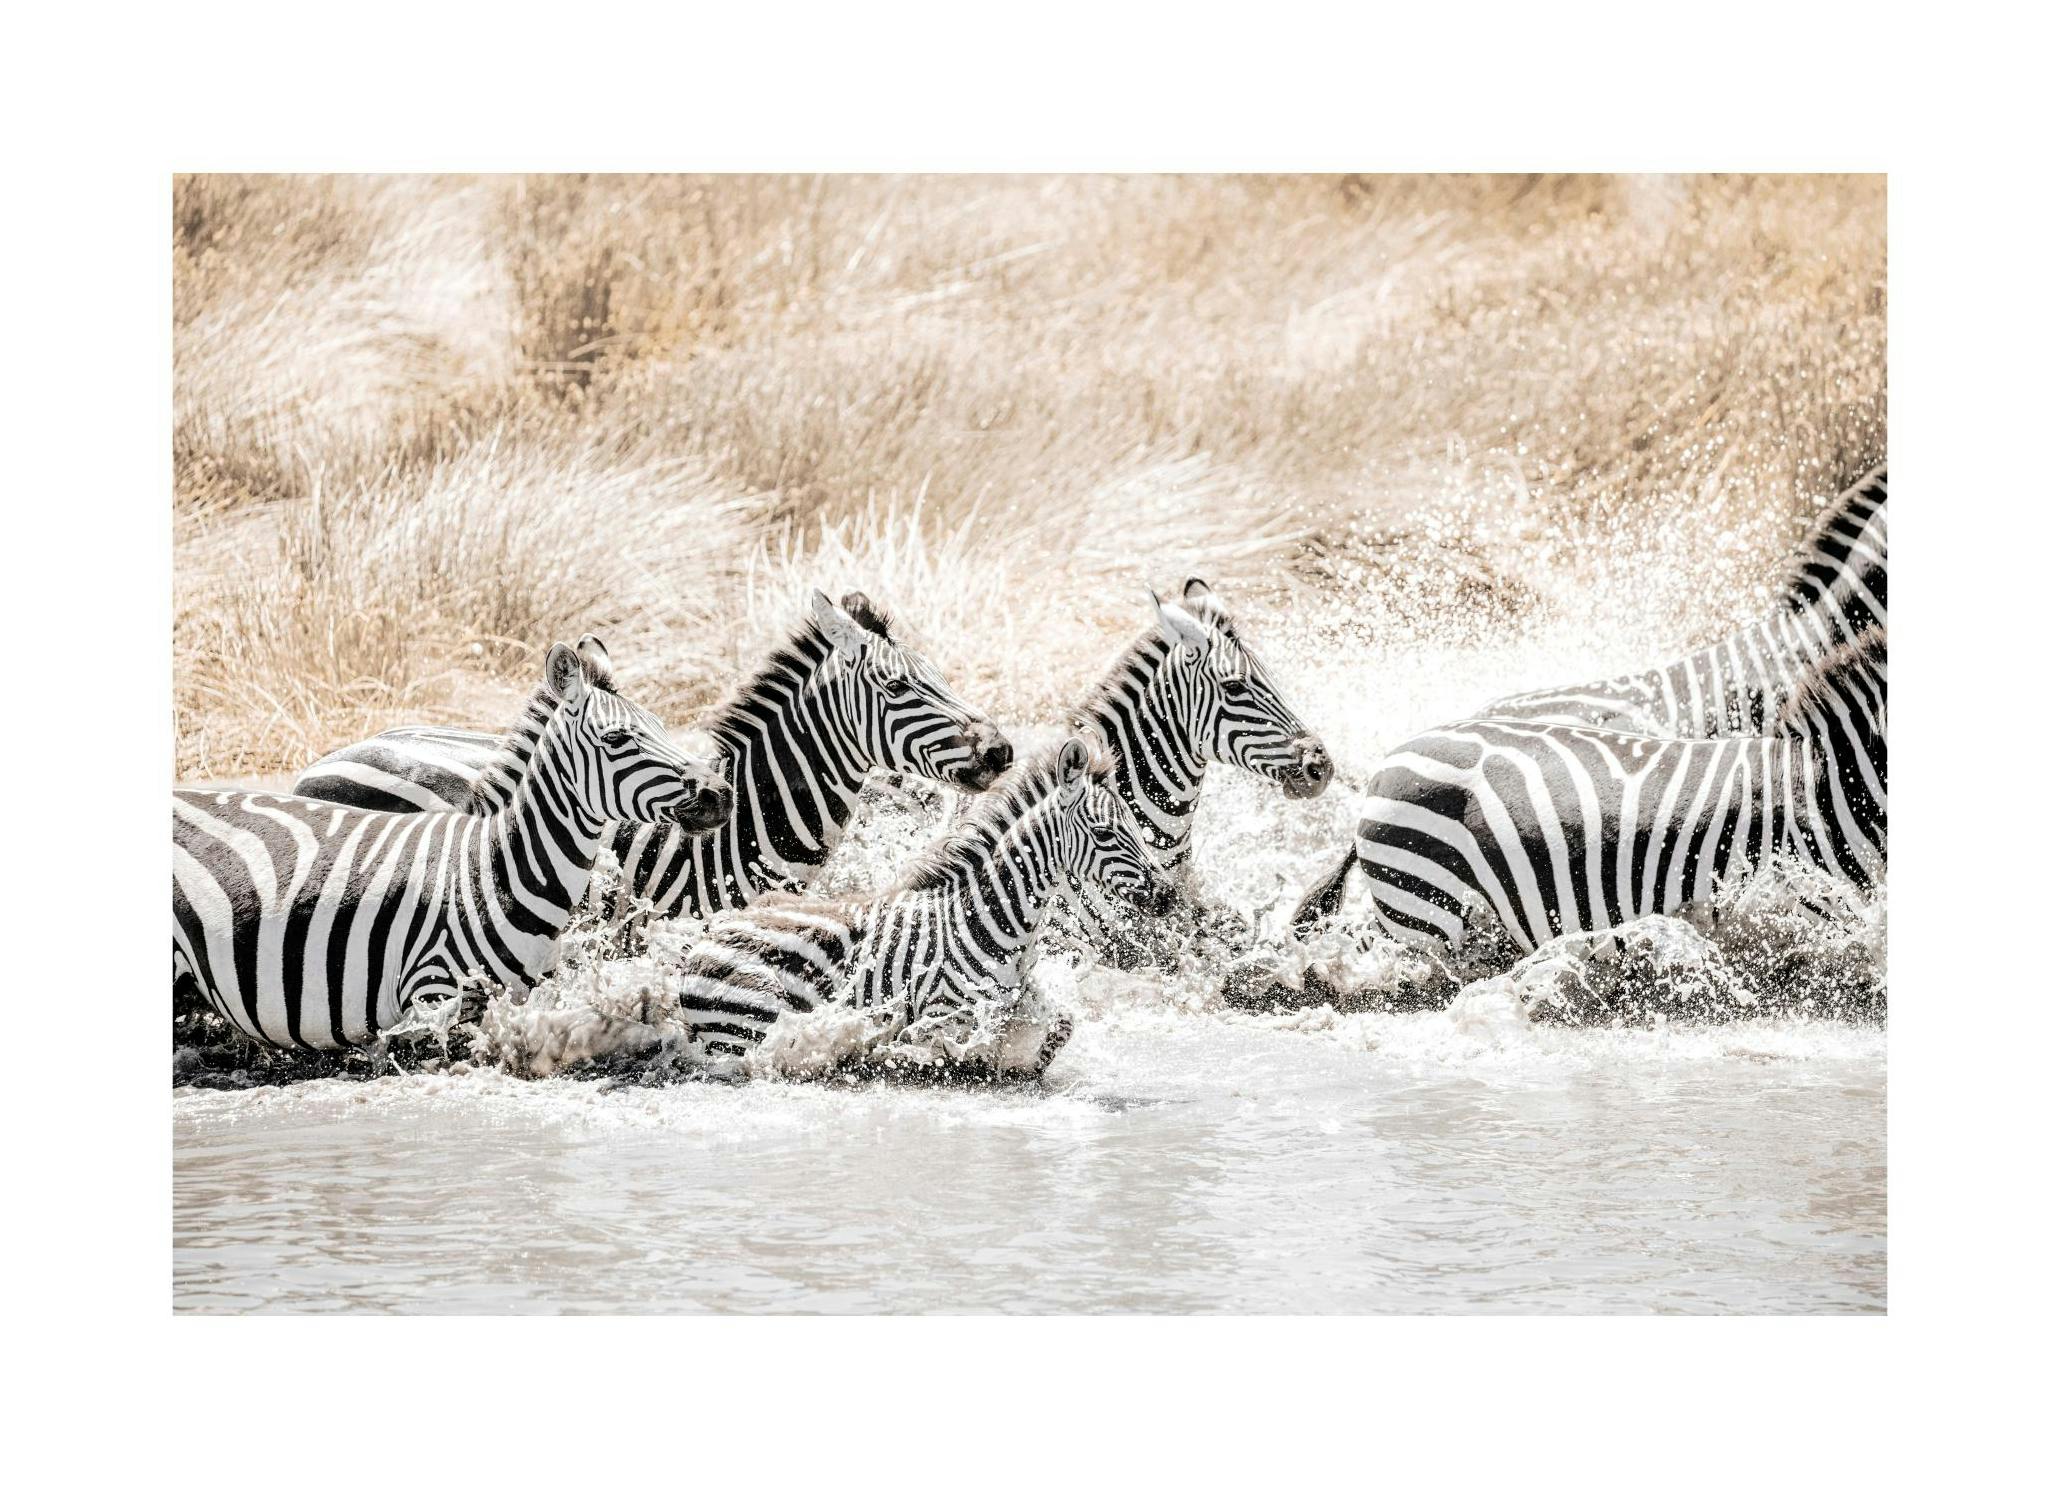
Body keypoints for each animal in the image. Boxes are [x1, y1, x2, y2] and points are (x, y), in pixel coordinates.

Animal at [173, 641, 732, 1051]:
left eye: (663, 728)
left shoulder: (529, 995)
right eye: (617, 739)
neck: (498, 868)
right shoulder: (433, 996)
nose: (721, 794)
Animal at [669, 737, 1176, 1079]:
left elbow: (1061, 1028)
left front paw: (1014, 1064)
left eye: (1135, 825)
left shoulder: (1020, 1000)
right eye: (1105, 833)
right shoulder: (942, 1012)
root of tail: (705, 937)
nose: (1167, 896)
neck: (992, 919)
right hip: (753, 1023)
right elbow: (927, 1044)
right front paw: (920, 1055)